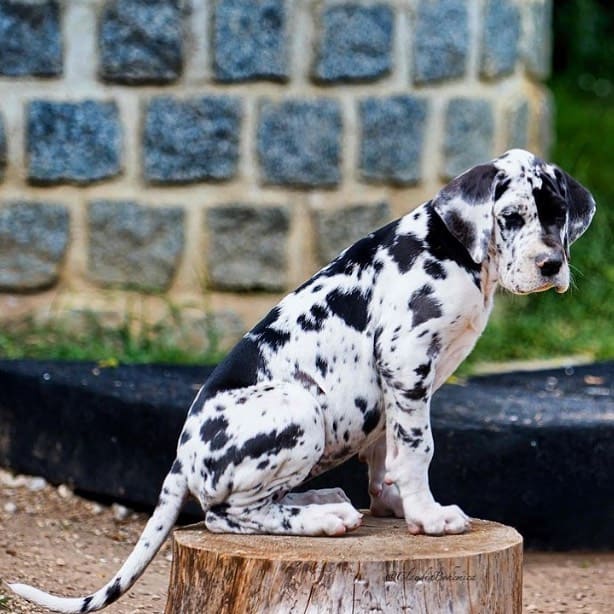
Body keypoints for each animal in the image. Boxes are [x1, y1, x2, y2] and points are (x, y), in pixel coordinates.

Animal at [8, 150, 596, 614]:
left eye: (558, 215)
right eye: (511, 216)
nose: (550, 265)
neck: (453, 249)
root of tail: (182, 454)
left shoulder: (390, 387)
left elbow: (385, 454)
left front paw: (395, 505)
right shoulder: (405, 361)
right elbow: (417, 448)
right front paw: (428, 517)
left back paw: (321, 499)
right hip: (300, 410)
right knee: (227, 516)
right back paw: (323, 520)